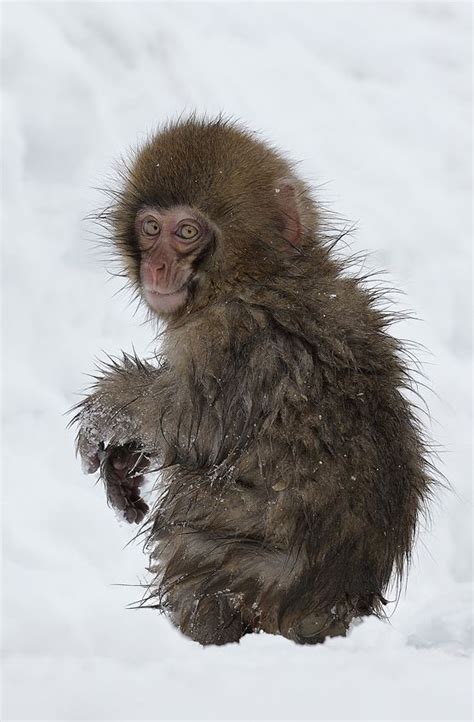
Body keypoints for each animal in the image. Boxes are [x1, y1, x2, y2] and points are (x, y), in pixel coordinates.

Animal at [73, 115, 434, 644]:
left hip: (241, 574)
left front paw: (110, 408)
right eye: (151, 228)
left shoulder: (226, 335)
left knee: (189, 511)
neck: (259, 273)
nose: (157, 266)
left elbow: (192, 425)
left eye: (186, 231)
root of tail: (336, 608)